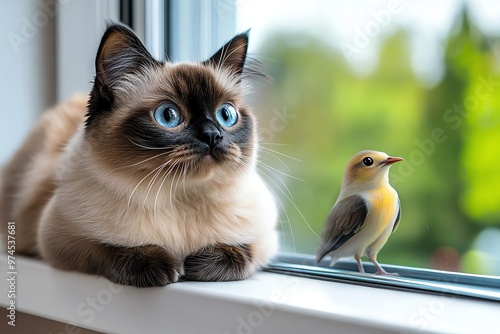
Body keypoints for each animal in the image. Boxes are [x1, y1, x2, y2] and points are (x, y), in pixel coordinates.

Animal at [0, 22, 278, 288]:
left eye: (226, 115)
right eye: (168, 116)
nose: (212, 135)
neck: (180, 196)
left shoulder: (265, 238)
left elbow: (242, 251)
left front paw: (195, 265)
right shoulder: (60, 238)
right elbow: (109, 247)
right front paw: (167, 267)